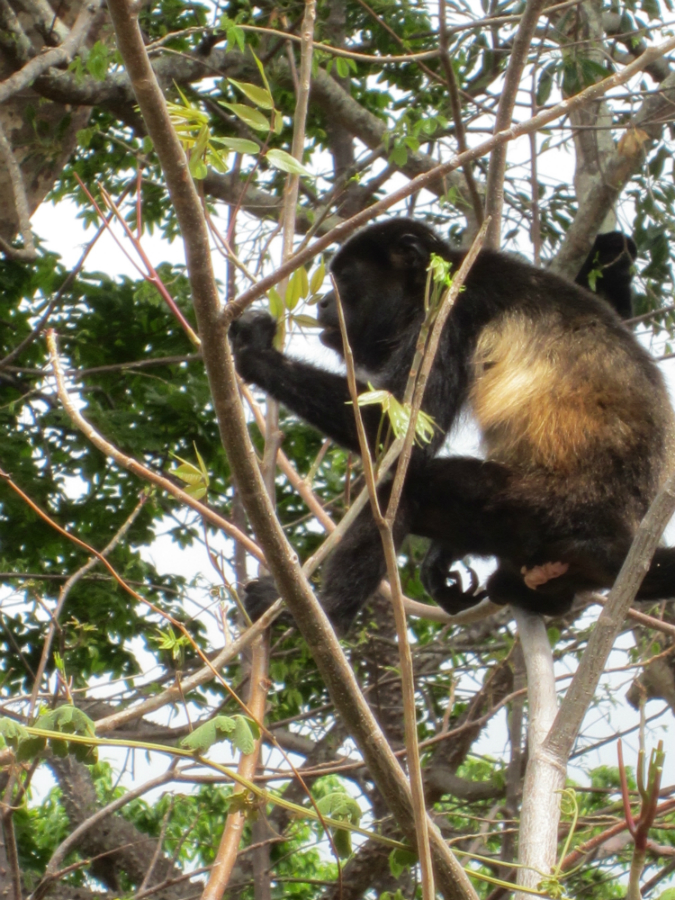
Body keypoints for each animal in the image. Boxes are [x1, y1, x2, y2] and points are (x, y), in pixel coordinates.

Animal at [230, 220, 672, 632]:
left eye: (344, 278)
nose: (322, 303)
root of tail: (623, 537)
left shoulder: (450, 311)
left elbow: (394, 430)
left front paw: (255, 351)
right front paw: (439, 561)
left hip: (541, 510)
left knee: (405, 487)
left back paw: (323, 615)